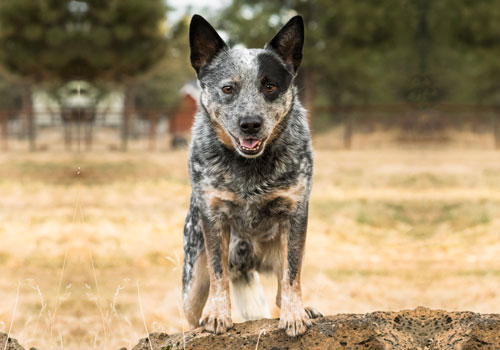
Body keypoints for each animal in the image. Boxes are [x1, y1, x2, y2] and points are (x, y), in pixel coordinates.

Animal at [181, 13, 320, 336]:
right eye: (228, 88)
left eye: (269, 86)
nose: (250, 123)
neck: (249, 169)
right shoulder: (213, 217)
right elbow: (219, 276)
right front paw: (218, 314)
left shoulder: (295, 215)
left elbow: (292, 274)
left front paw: (295, 315)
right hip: (192, 280)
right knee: (192, 312)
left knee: (284, 284)